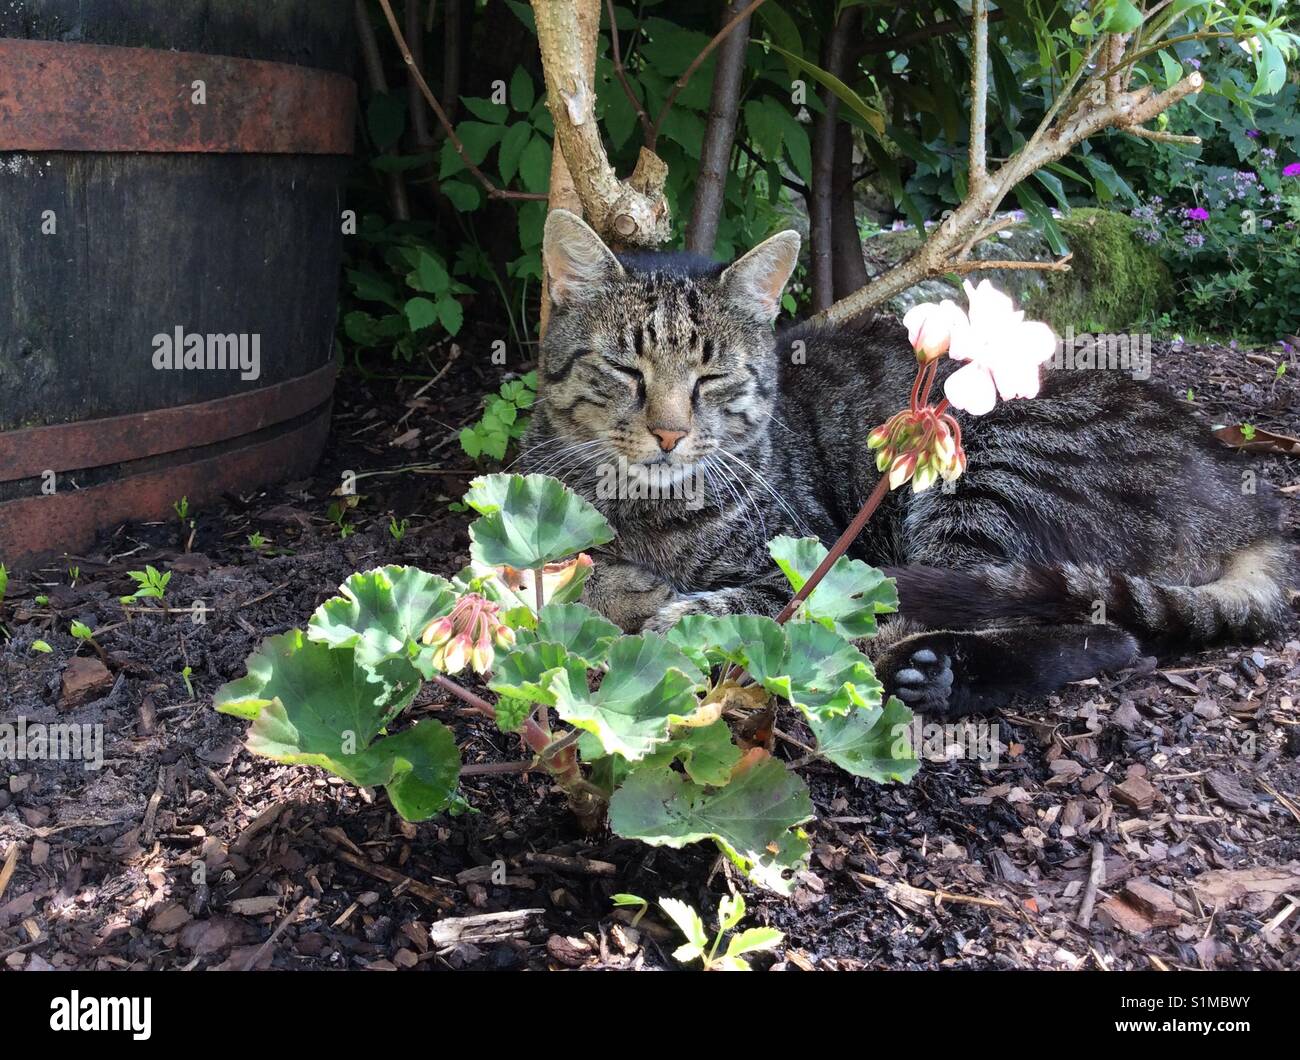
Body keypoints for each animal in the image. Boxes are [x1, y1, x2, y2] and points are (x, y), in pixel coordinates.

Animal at [517, 210, 1289, 717]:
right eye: (625, 369)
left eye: (712, 378)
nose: (669, 434)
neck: (647, 509)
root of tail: (1247, 500)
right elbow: (548, 576)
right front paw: (618, 584)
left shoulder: (804, 555)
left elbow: (746, 609)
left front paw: (659, 608)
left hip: (991, 473)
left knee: (1073, 626)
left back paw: (934, 671)